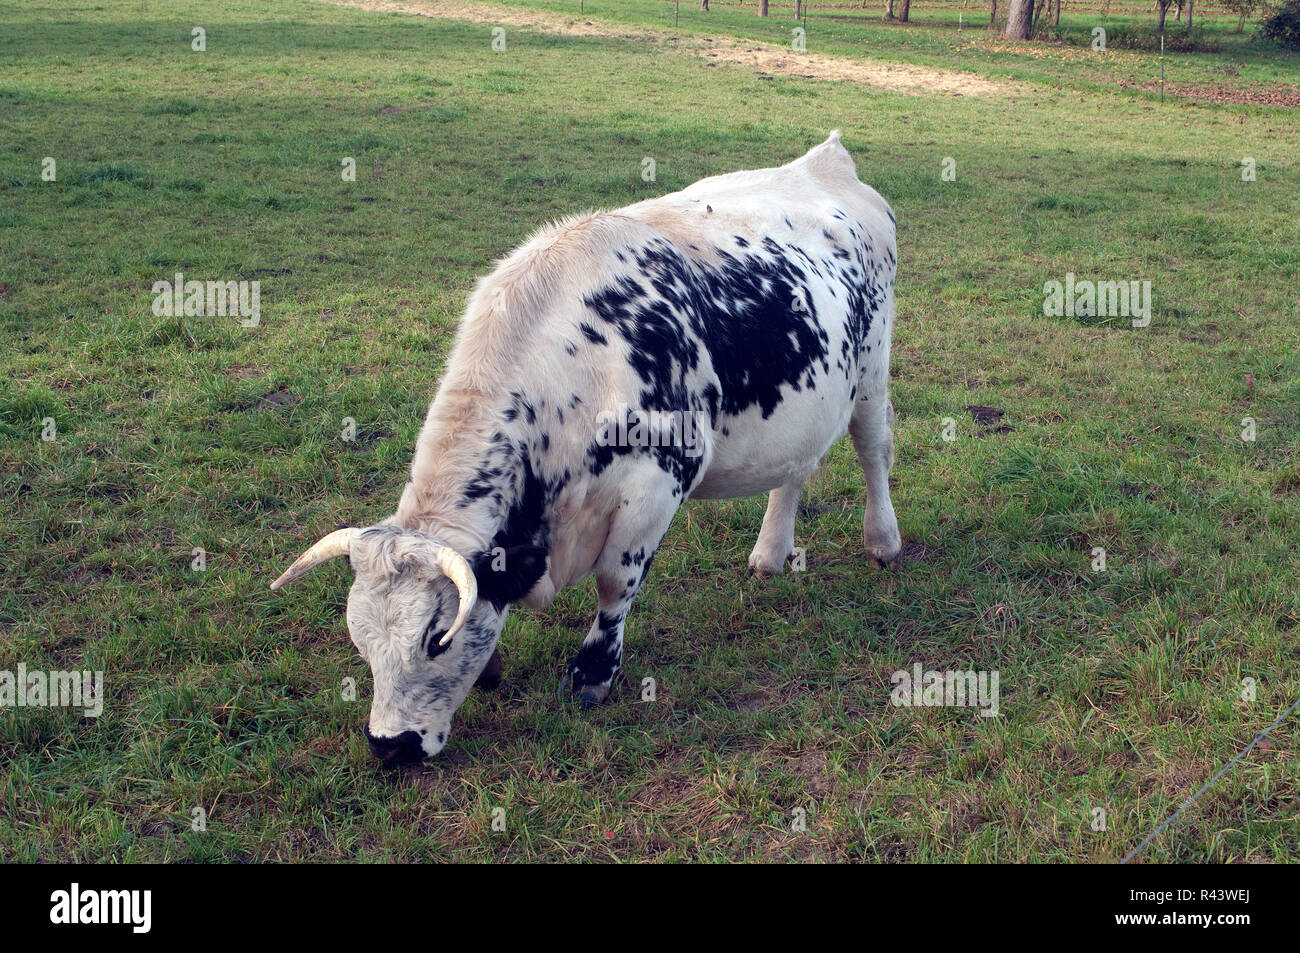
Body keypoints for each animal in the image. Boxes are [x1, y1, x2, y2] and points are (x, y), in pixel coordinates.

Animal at [271, 133, 904, 764]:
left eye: (434, 638)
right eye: (360, 640)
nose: (389, 746)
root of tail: (825, 160)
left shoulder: (657, 485)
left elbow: (615, 582)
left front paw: (592, 675)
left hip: (872, 373)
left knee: (873, 451)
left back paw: (883, 542)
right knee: (795, 469)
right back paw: (771, 552)